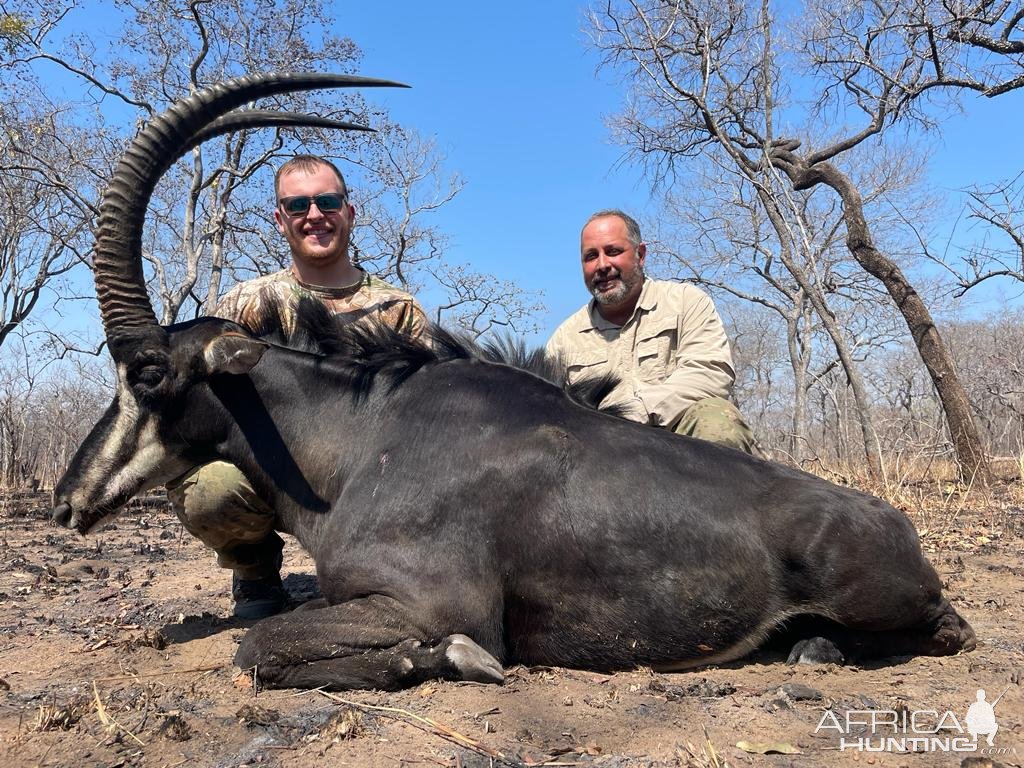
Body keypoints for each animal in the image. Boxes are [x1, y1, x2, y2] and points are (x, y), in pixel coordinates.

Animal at [49, 75, 974, 696]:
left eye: (146, 370)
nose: (66, 500)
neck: (360, 443)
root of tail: (896, 523)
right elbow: (263, 641)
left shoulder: (429, 602)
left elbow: (261, 651)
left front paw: (457, 660)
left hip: (886, 601)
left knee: (946, 631)